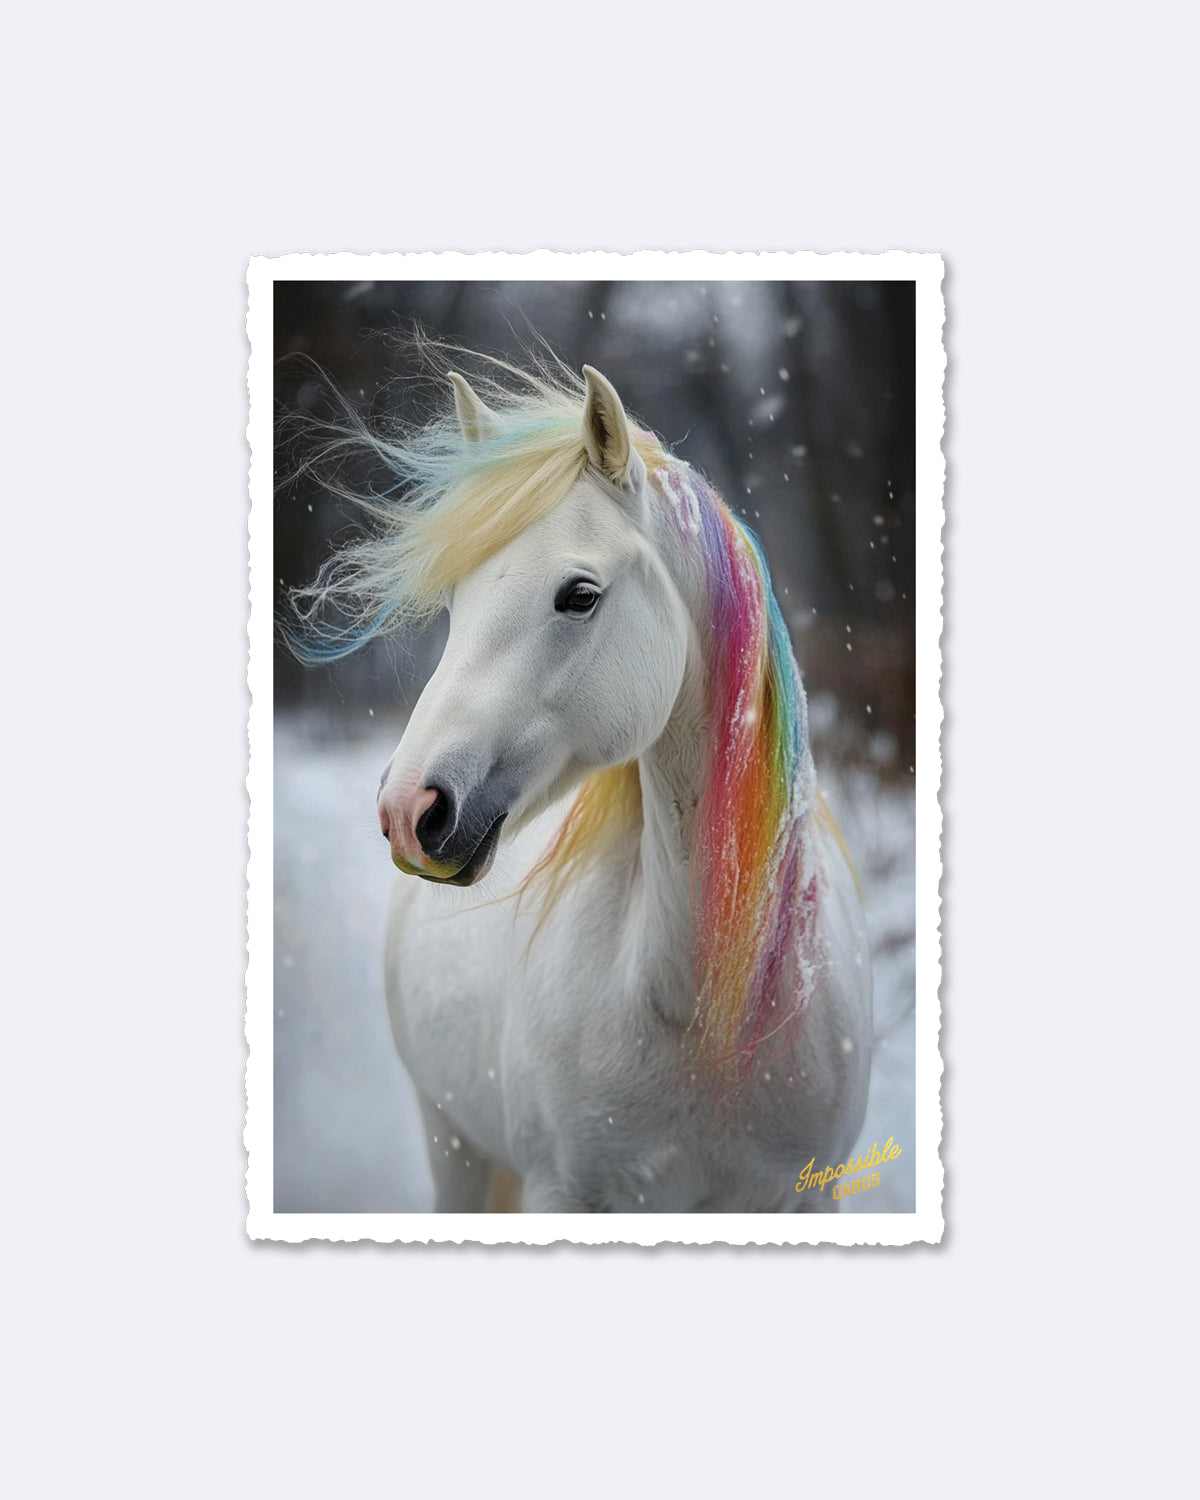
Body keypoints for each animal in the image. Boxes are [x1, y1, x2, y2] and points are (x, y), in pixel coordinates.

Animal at [290, 353, 872, 1212]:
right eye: (456, 600)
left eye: (580, 595)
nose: (407, 809)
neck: (706, 1013)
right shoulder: (562, 1192)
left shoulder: (808, 1194)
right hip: (451, 1144)